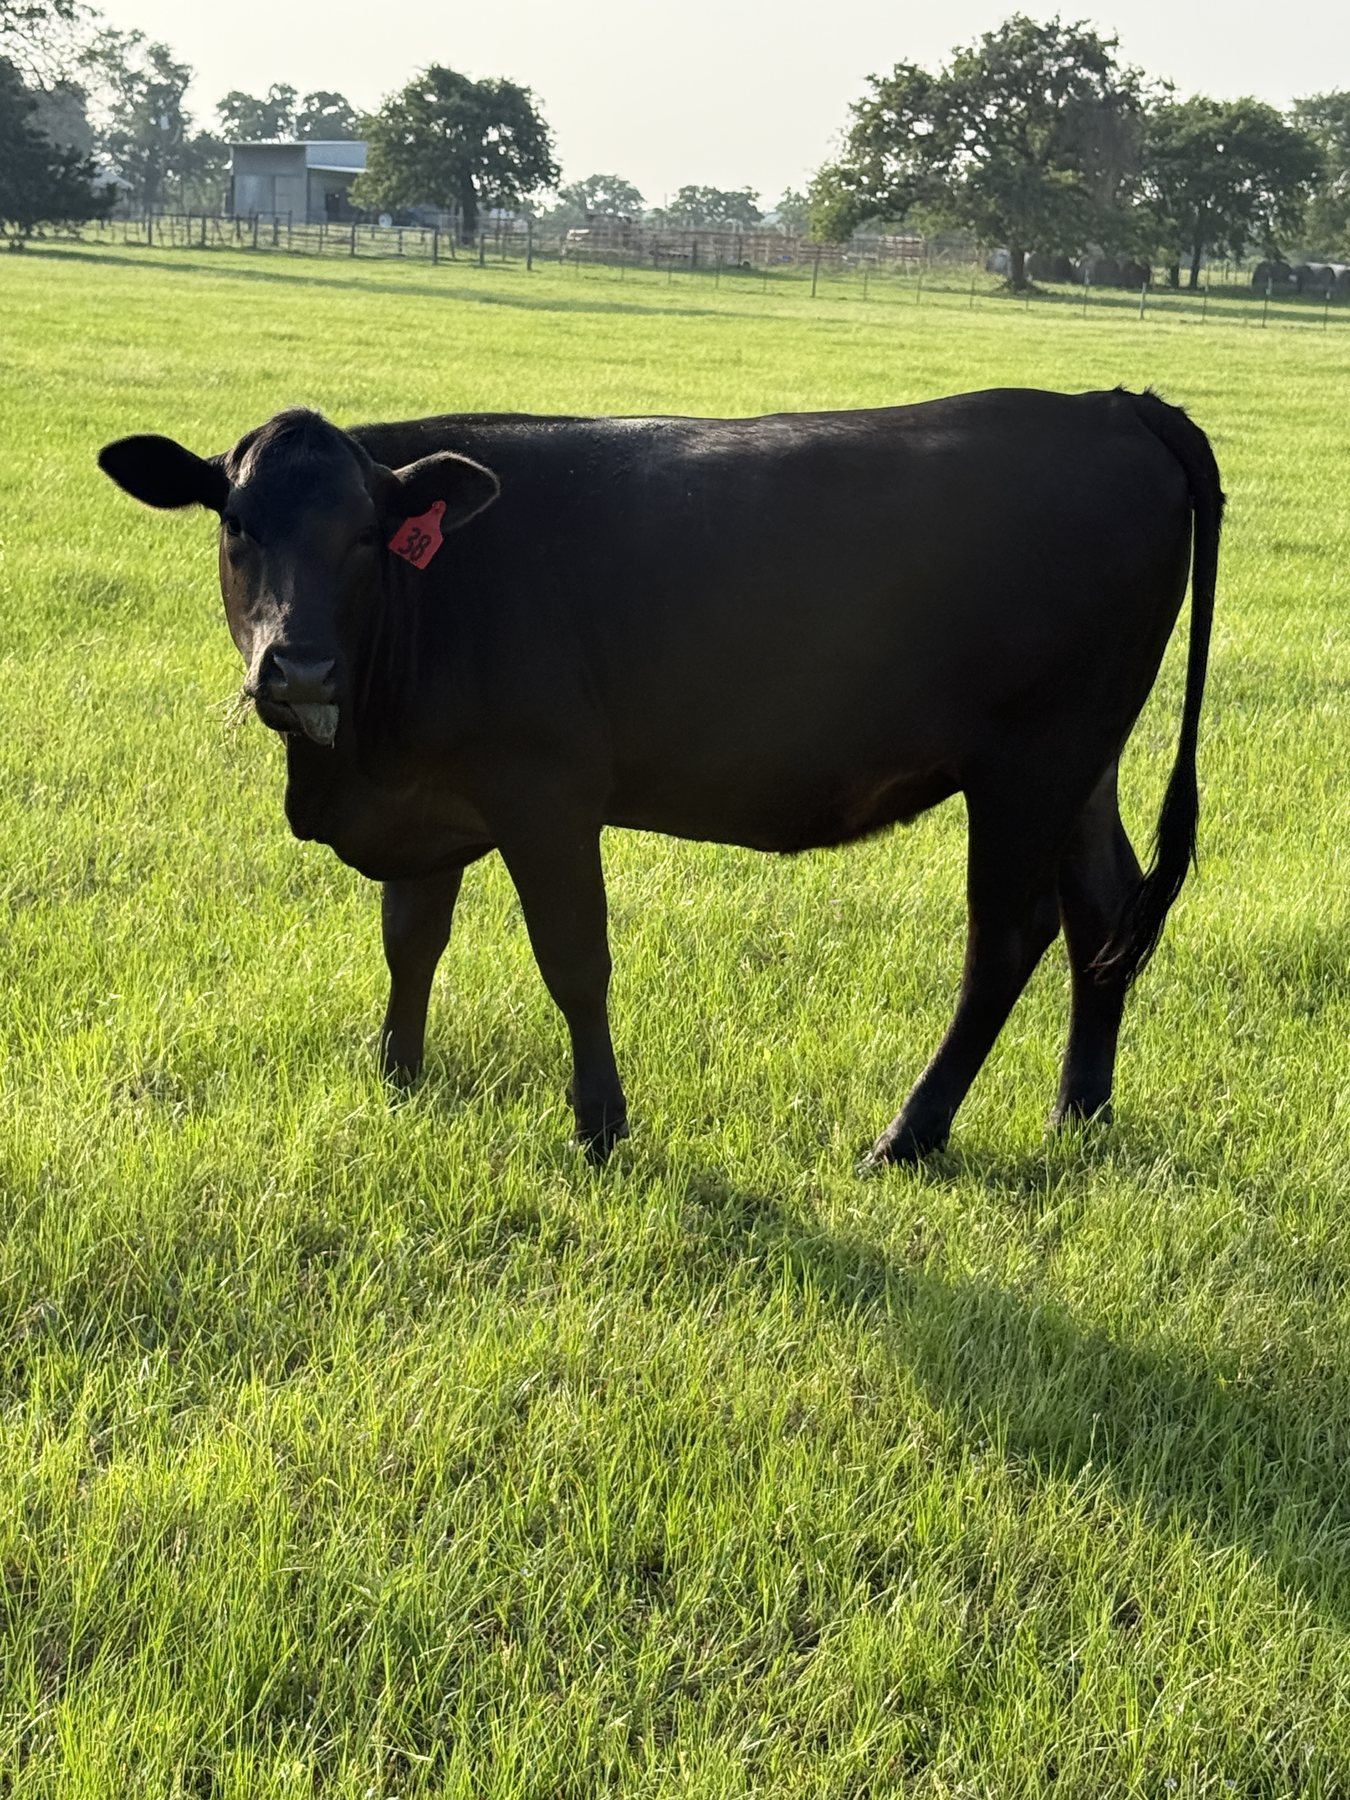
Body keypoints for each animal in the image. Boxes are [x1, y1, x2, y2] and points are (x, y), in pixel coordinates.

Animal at [97, 387, 1222, 1167]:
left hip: (1033, 760)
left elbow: (574, 960)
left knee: (1008, 937)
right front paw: (399, 1082)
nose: (298, 669)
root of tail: (1110, 404)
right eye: (236, 523)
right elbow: (409, 946)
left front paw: (600, 1125)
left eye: (368, 535)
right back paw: (1079, 1115)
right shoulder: (425, 807)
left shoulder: (546, 796)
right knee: (1104, 913)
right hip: (1082, 765)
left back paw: (908, 1137)